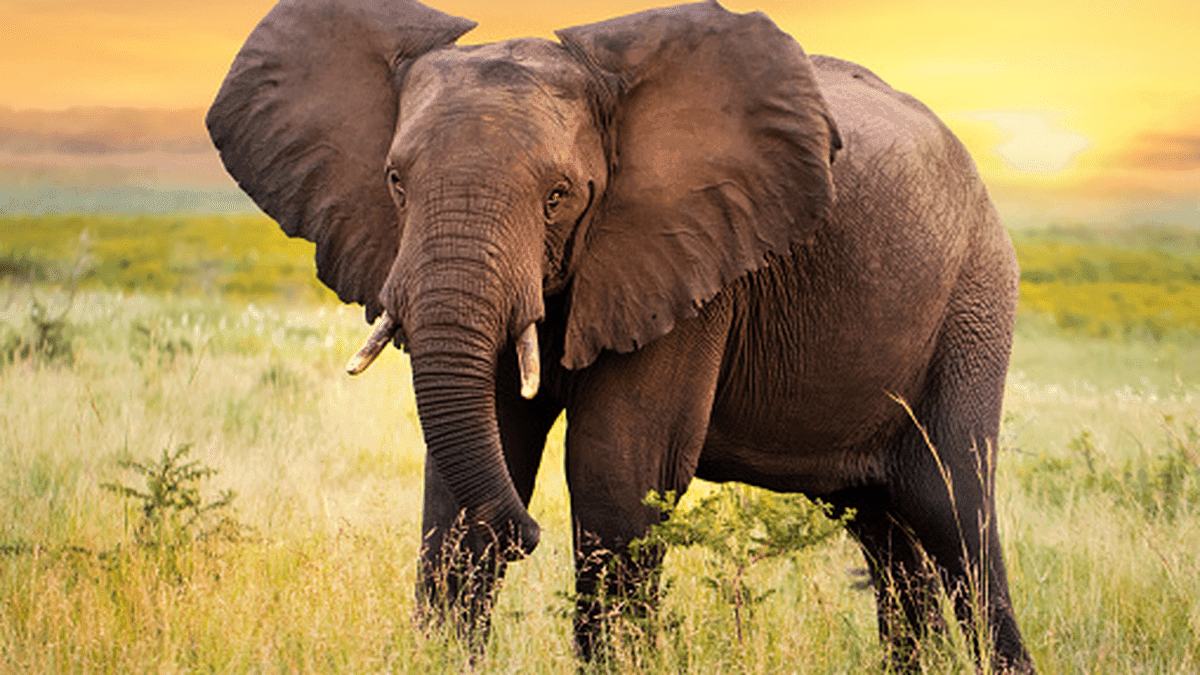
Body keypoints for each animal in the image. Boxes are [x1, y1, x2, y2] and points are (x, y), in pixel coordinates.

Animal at [207, 0, 1033, 670]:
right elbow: (473, 469)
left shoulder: (692, 258)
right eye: (395, 182)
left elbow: (615, 469)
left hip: (974, 300)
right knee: (886, 528)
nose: (528, 534)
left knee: (953, 505)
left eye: (559, 196)